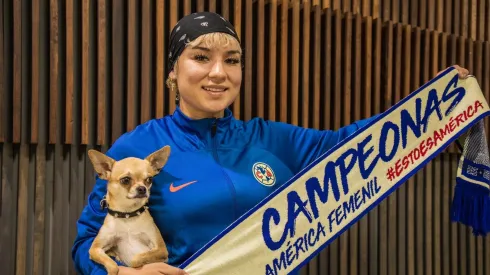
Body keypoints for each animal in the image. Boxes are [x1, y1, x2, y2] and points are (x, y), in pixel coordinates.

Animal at [87, 146, 171, 274]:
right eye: (126, 180)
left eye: (149, 179)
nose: (142, 188)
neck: (127, 215)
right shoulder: (95, 249)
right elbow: (112, 264)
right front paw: (113, 268)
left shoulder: (161, 250)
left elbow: (136, 259)